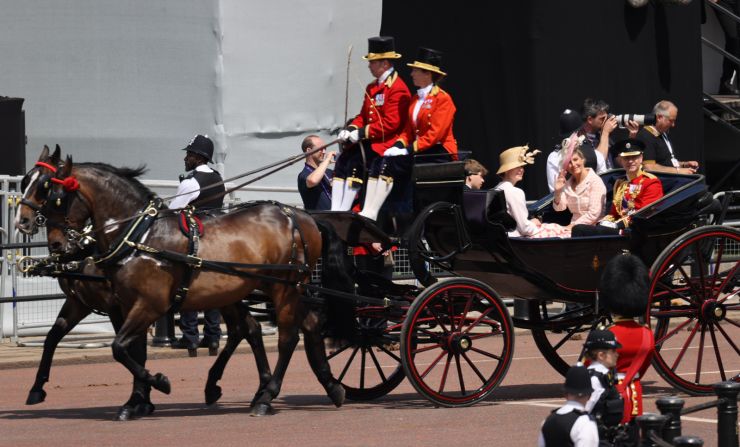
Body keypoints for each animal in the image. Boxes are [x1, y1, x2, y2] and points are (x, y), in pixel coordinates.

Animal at [15, 147, 274, 420]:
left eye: (46, 188)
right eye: (25, 181)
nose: (22, 221)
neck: (132, 236)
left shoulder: (127, 306)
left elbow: (128, 349)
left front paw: (146, 393)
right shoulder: (81, 302)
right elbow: (53, 337)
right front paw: (37, 388)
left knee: (245, 329)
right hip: (226, 295)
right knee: (247, 329)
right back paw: (245, 387)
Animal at [36, 155, 344, 416]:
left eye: (57, 198)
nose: (56, 244)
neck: (140, 236)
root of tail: (300, 216)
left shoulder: (149, 304)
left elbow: (120, 347)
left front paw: (158, 383)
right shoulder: (124, 304)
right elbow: (131, 350)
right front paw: (137, 401)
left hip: (284, 288)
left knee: (287, 338)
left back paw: (267, 396)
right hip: (270, 288)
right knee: (297, 325)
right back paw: (331, 386)